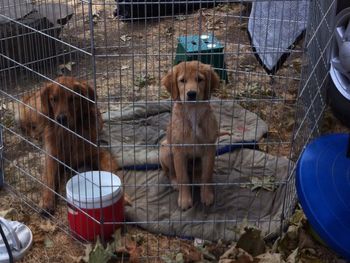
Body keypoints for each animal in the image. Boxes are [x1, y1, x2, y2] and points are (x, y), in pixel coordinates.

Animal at [160, 60, 220, 211]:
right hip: (166, 149)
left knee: (198, 172)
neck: (193, 112)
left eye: (199, 79)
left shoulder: (209, 148)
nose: (192, 94)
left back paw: (197, 178)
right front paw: (184, 199)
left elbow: (207, 175)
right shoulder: (179, 151)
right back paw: (174, 181)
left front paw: (207, 195)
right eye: (182, 81)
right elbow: (183, 178)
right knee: (171, 172)